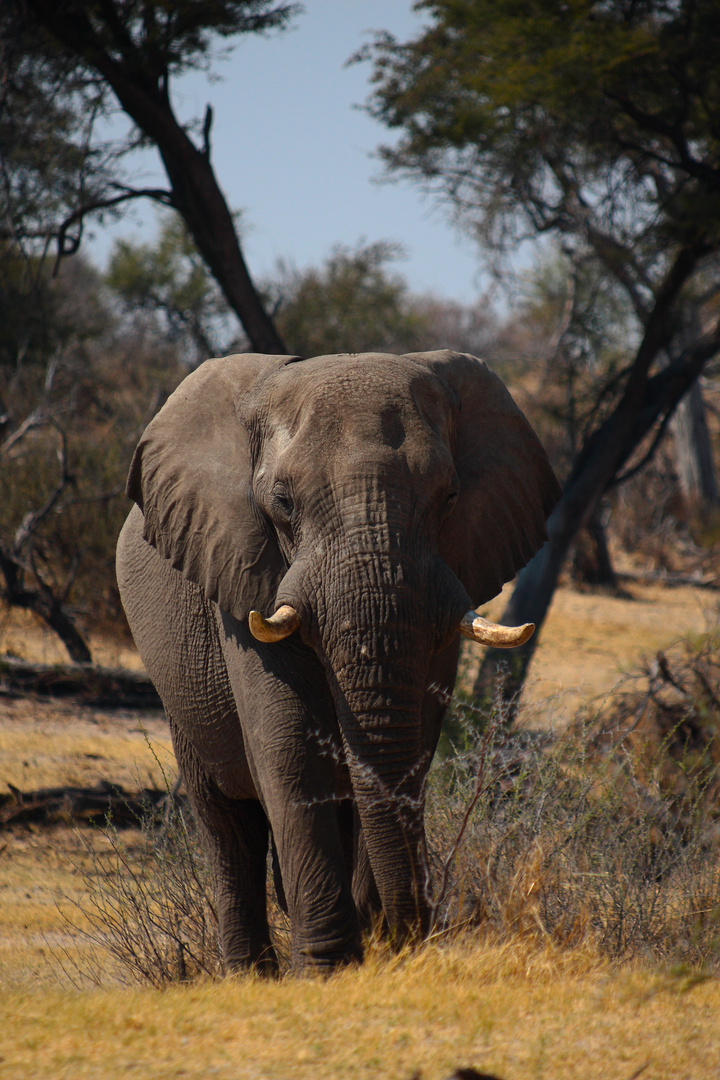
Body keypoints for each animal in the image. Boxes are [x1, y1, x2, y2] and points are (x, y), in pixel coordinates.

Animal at [115, 349, 561, 976]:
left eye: (450, 496)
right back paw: (251, 974)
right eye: (282, 502)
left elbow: (412, 744)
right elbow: (291, 744)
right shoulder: (242, 572)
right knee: (226, 819)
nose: (411, 938)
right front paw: (327, 971)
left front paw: (369, 949)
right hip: (176, 680)